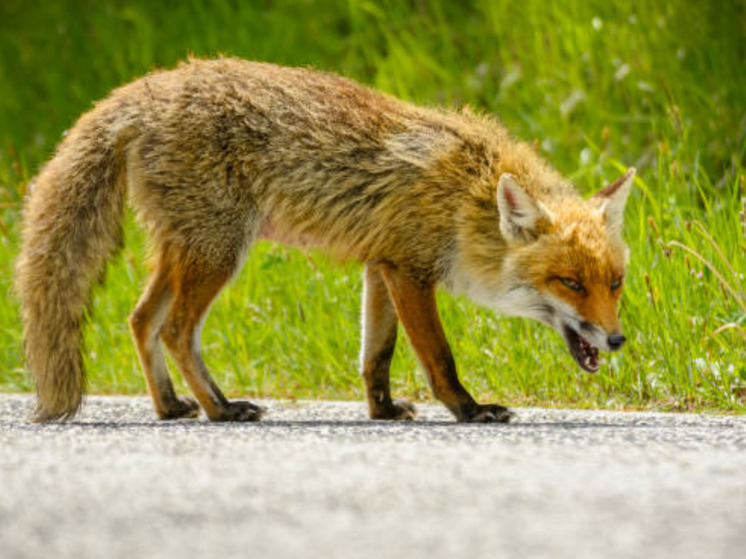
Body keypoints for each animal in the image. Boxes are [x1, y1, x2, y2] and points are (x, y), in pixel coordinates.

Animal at [14, 57, 632, 424]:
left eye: (615, 284)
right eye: (569, 283)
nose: (618, 340)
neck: (467, 196)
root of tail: (149, 87)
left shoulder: (381, 267)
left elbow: (375, 356)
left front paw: (382, 411)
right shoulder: (411, 272)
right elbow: (438, 356)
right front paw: (468, 409)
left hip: (187, 250)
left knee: (141, 320)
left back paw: (169, 407)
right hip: (218, 252)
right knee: (175, 330)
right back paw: (221, 409)